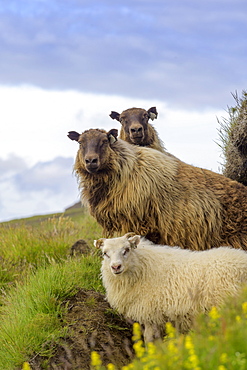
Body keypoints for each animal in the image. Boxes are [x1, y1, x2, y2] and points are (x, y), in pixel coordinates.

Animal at [94, 233, 247, 342]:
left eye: (126, 250)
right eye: (105, 253)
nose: (116, 267)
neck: (142, 267)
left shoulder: (149, 312)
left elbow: (148, 338)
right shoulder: (155, 315)